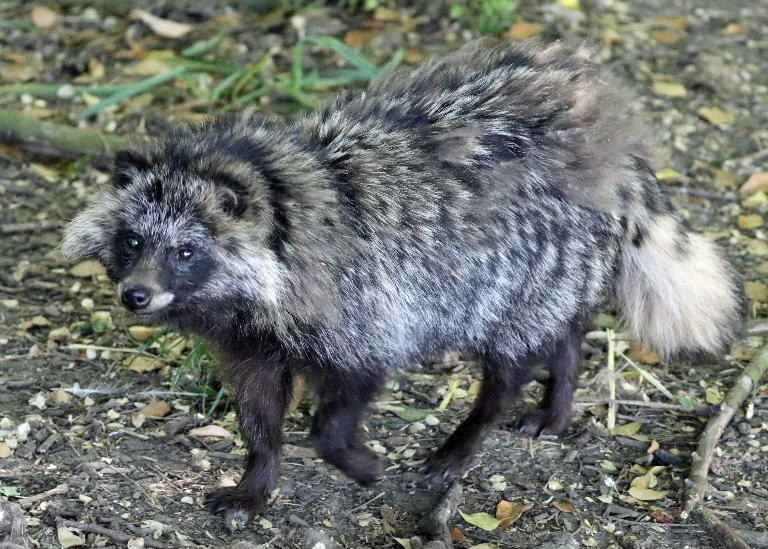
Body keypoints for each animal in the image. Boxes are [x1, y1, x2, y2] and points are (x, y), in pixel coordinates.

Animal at [61, 40, 743, 527]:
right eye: (132, 242)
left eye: (185, 251)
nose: (135, 295)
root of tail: (607, 143)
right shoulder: (252, 344)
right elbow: (258, 418)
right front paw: (259, 481)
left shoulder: (367, 314)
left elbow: (332, 423)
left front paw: (357, 461)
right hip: (543, 274)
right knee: (566, 331)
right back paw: (560, 394)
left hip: (519, 273)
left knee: (510, 370)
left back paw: (468, 439)